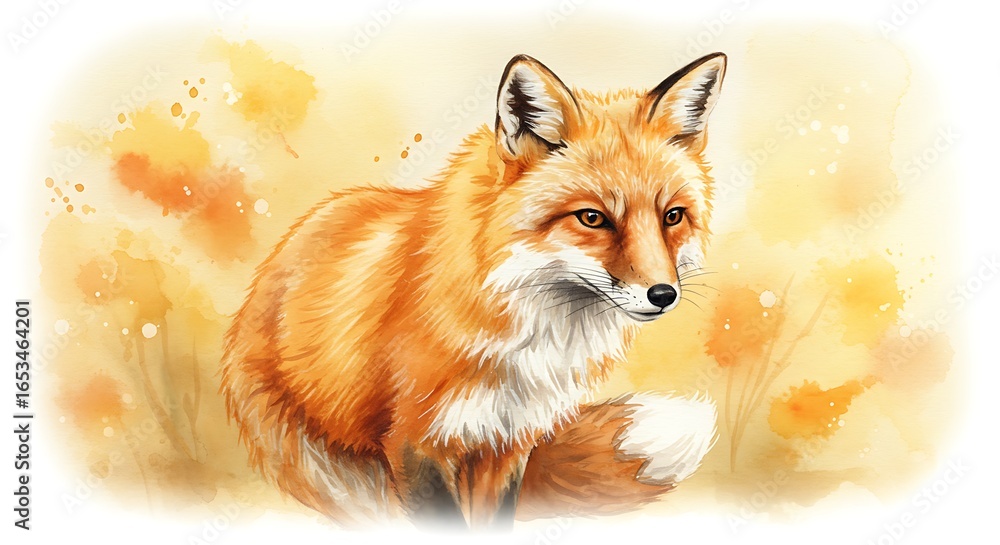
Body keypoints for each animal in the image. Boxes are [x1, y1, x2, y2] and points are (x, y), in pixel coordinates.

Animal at [220, 51, 727, 530]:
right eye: (592, 218)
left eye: (673, 216)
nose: (663, 294)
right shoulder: (415, 442)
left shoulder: (507, 442)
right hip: (340, 478)